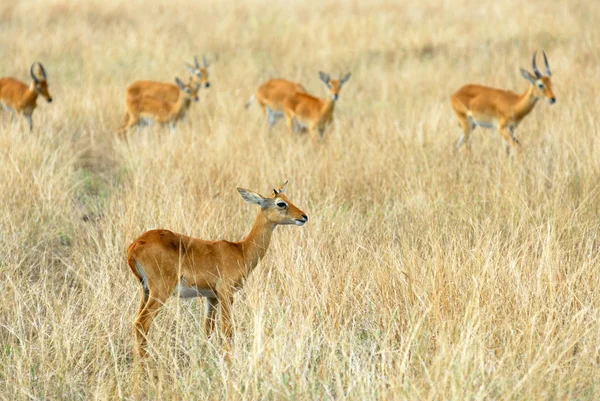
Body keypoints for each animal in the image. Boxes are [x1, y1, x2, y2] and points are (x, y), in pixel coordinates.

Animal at [125, 181, 304, 356]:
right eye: (281, 203)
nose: (304, 216)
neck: (241, 250)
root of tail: (135, 246)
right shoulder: (226, 293)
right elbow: (228, 330)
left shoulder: (211, 297)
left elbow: (208, 331)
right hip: (160, 292)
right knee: (141, 323)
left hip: (145, 291)